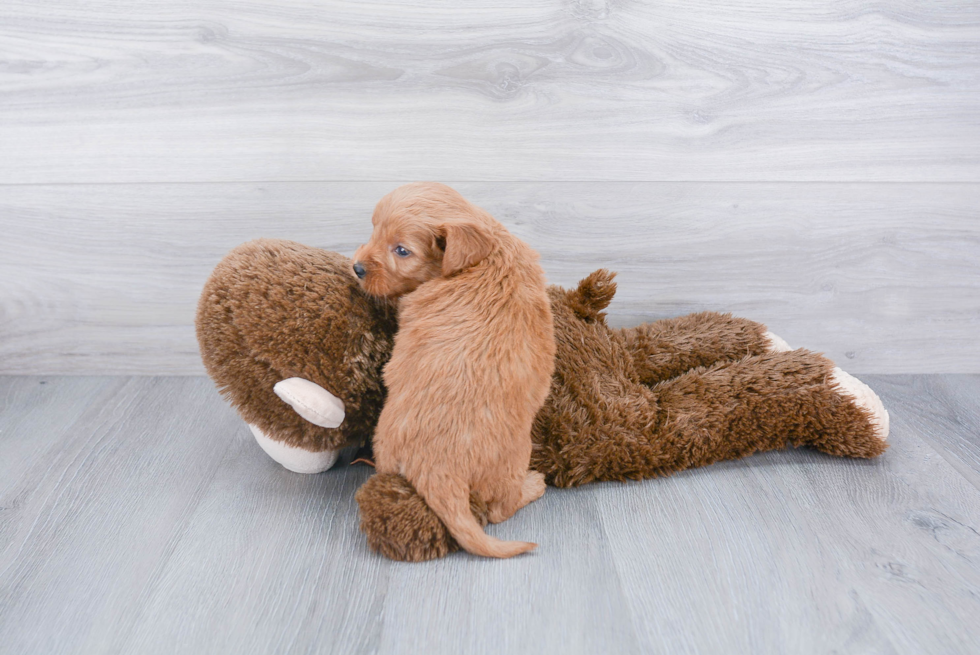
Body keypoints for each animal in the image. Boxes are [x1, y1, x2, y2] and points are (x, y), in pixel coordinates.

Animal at [352, 183, 556, 560]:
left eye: (401, 250)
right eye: (374, 230)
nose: (357, 267)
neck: (485, 255)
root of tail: (437, 471)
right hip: (518, 452)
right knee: (500, 508)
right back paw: (533, 485)